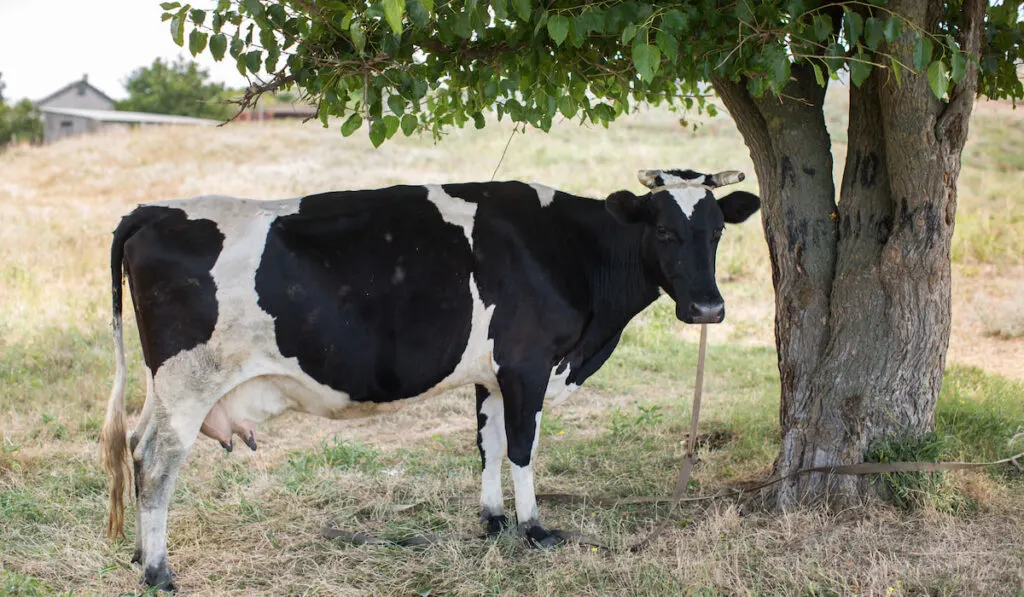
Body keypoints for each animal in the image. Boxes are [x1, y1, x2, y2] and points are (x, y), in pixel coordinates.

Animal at [101, 167, 761, 589]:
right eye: (665, 231)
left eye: (717, 231)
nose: (707, 308)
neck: (569, 249)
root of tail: (154, 210)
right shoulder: (526, 363)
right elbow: (522, 447)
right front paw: (535, 530)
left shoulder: (491, 373)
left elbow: (488, 443)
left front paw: (493, 522)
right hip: (188, 382)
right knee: (155, 464)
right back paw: (159, 574)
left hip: (163, 388)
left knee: (134, 445)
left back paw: (139, 554)